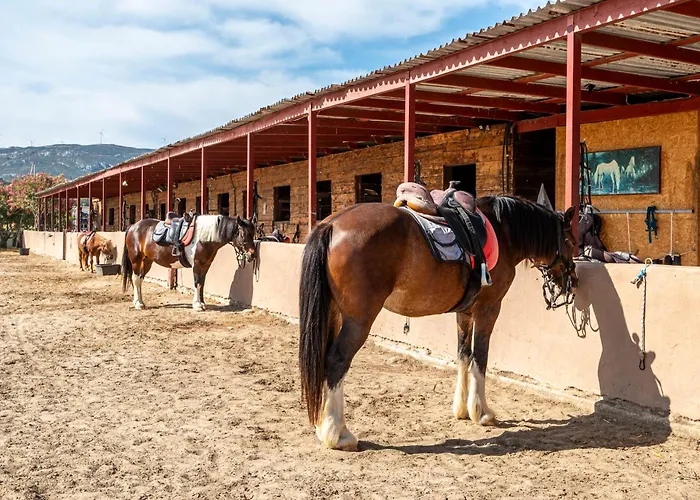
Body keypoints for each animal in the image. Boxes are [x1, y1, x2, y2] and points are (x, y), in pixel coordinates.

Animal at [121, 214, 257, 311]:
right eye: (242, 234)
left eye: (253, 233)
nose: (252, 254)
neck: (204, 237)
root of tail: (133, 226)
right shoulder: (196, 264)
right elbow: (196, 282)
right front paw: (197, 305)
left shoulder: (206, 265)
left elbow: (202, 283)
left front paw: (202, 303)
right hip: (136, 260)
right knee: (135, 279)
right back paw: (138, 304)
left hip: (147, 261)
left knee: (140, 279)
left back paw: (140, 302)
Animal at [298, 195, 578, 451]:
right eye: (571, 241)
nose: (572, 280)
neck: (503, 232)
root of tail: (332, 224)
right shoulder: (488, 308)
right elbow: (480, 358)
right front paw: (482, 412)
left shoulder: (465, 313)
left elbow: (463, 355)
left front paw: (462, 409)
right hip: (358, 320)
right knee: (337, 361)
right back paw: (338, 434)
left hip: (334, 314)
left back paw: (324, 427)